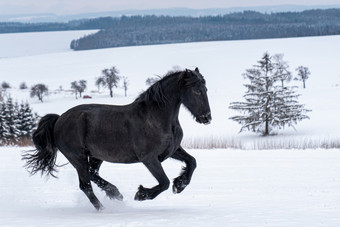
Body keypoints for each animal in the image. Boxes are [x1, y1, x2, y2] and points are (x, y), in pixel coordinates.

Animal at [23, 68, 210, 211]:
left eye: (205, 89)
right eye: (196, 90)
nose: (207, 118)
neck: (156, 118)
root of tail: (59, 119)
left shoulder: (172, 150)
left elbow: (192, 162)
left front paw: (180, 184)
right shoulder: (149, 158)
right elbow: (163, 182)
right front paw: (141, 194)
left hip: (95, 156)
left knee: (93, 175)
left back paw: (115, 194)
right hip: (77, 157)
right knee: (86, 185)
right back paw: (104, 209)